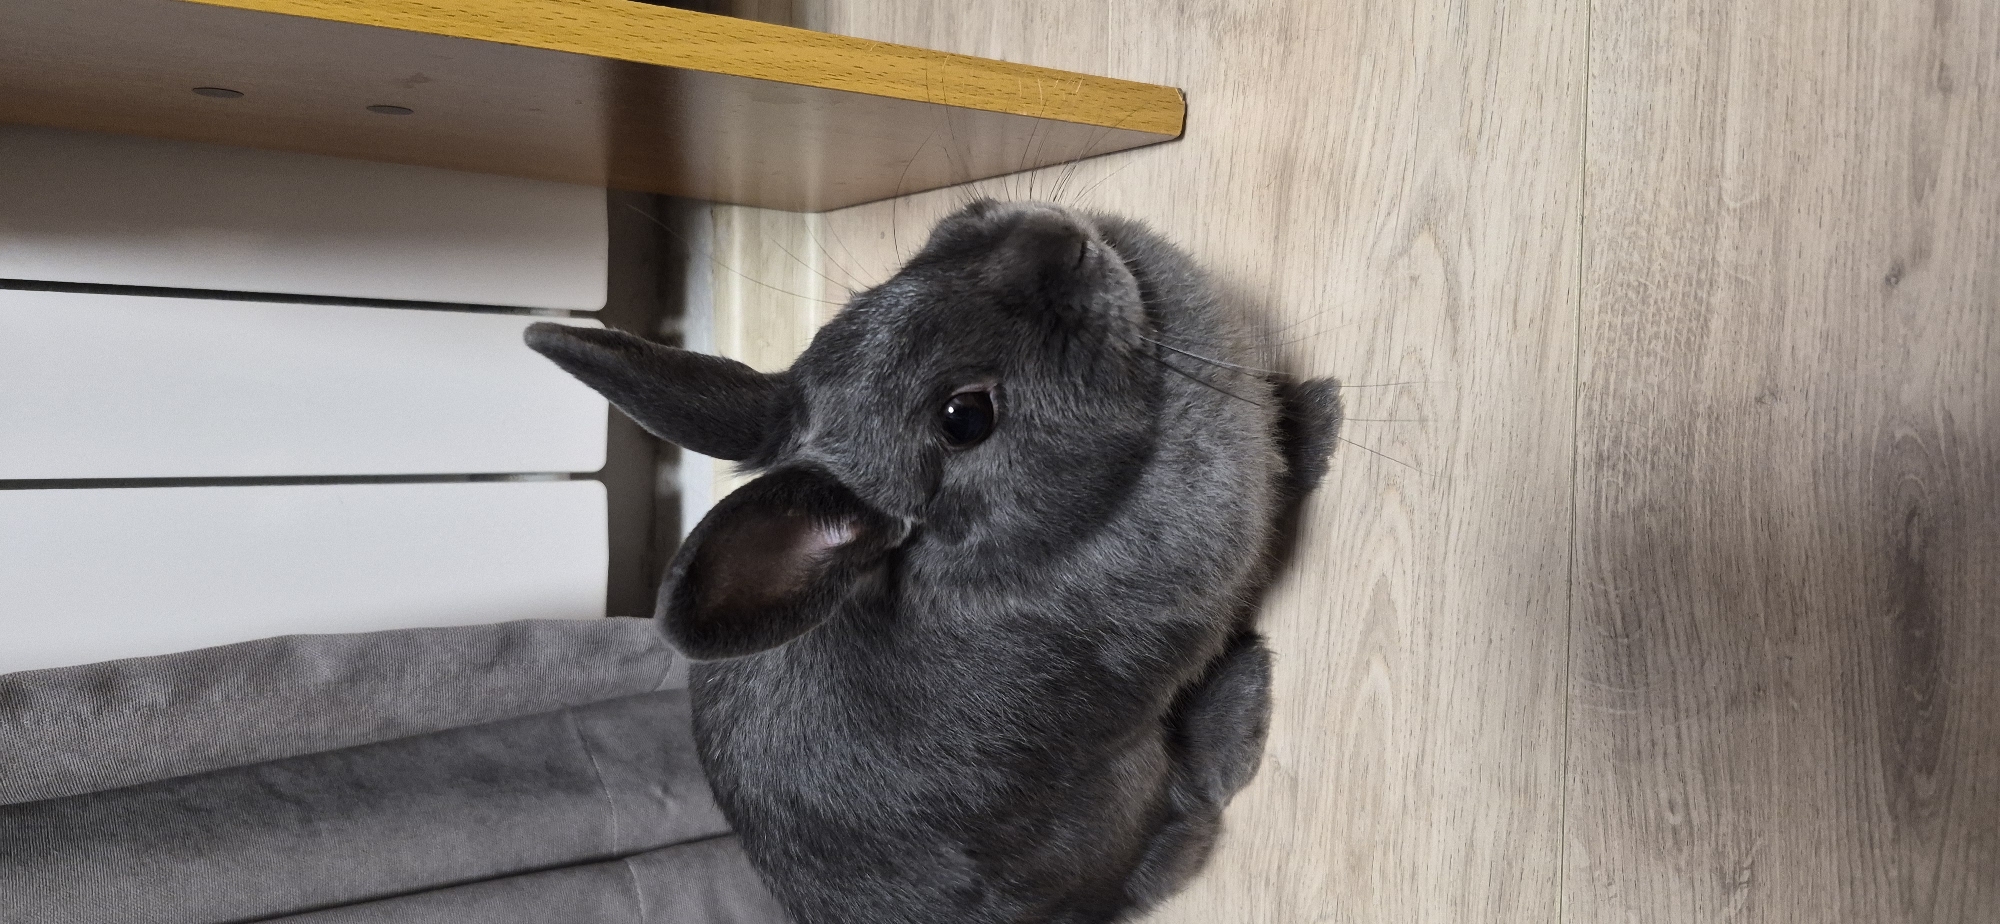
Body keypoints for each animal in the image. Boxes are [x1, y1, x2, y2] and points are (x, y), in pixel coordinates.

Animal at [525, 198, 1340, 924]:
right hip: (1119, 803)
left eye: (868, 298)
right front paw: (1321, 417)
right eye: (965, 417)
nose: (1057, 240)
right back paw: (1245, 692)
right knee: (1178, 831)